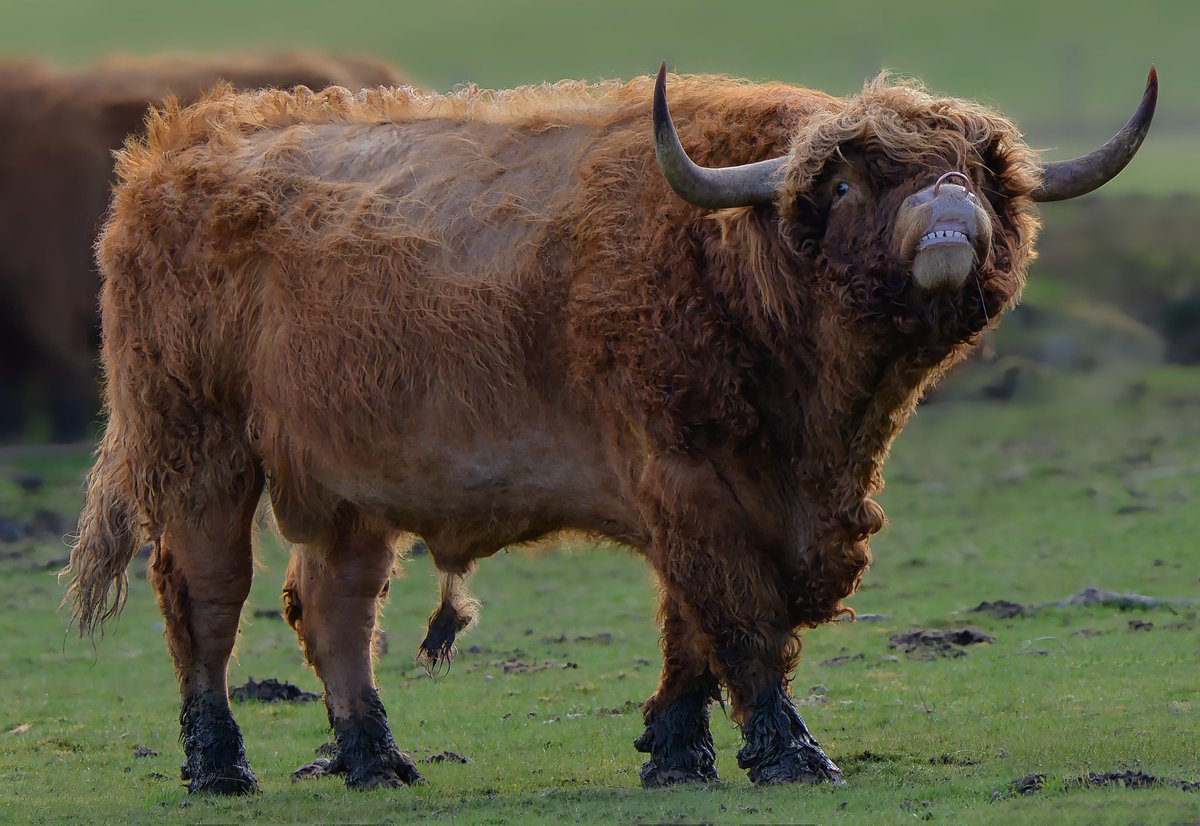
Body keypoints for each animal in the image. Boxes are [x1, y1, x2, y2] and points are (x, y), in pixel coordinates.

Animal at [63, 61, 1152, 792]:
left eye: (982, 169)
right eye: (847, 182)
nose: (948, 203)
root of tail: (171, 150)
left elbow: (690, 623)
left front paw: (676, 750)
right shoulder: (687, 475)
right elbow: (737, 613)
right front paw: (788, 750)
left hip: (350, 477)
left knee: (334, 606)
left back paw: (377, 757)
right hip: (197, 442)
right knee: (206, 598)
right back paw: (218, 761)